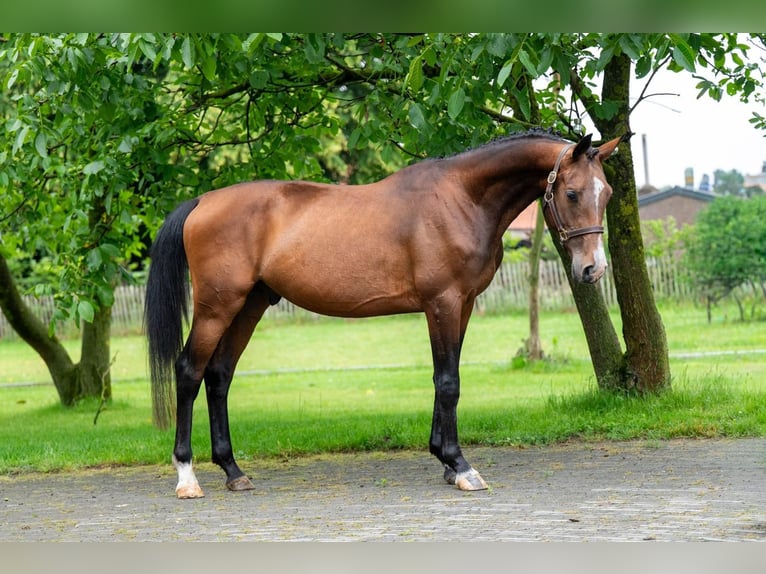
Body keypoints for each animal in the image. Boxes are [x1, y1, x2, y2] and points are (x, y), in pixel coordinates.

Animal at [144, 130, 624, 498]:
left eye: (607, 193)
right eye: (572, 192)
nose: (592, 269)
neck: (460, 198)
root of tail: (201, 201)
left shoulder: (463, 304)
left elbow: (443, 378)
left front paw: (444, 459)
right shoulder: (443, 302)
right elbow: (448, 382)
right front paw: (461, 466)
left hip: (250, 304)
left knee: (218, 376)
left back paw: (233, 471)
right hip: (217, 306)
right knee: (189, 372)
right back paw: (187, 477)